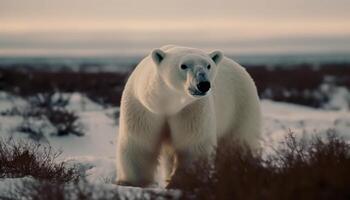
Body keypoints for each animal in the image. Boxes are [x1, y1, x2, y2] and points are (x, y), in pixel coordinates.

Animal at [116, 45, 262, 186]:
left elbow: (192, 145)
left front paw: (182, 181)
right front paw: (130, 181)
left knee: (240, 142)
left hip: (240, 106)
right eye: (183, 65)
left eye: (208, 65)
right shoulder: (144, 108)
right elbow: (139, 144)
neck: (168, 104)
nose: (203, 84)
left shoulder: (192, 109)